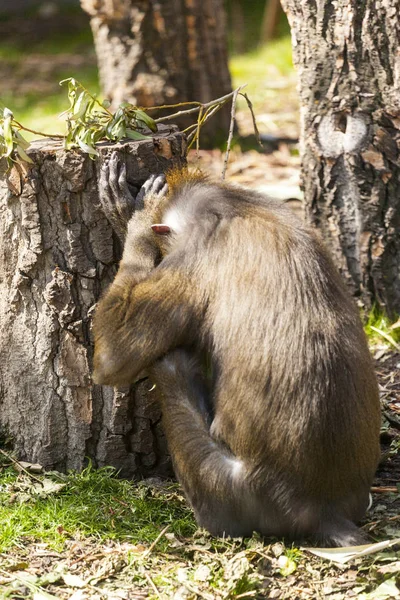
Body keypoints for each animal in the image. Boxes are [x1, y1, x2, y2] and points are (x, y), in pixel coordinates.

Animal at [94, 156, 382, 548]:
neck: (235, 206)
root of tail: (323, 510)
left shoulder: (192, 256)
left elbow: (113, 358)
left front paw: (131, 222)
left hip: (228, 492)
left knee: (171, 362)